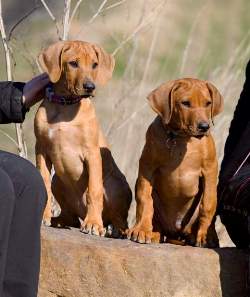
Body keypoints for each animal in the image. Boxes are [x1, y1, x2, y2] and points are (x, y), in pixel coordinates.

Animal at [35, 40, 133, 236]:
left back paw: (112, 229)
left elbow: (93, 191)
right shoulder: (41, 150)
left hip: (115, 186)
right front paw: (43, 216)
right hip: (58, 181)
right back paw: (58, 221)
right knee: (70, 217)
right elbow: (44, 183)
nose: (90, 87)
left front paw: (93, 224)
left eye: (95, 65)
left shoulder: (92, 154)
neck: (65, 105)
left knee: (119, 220)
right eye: (73, 63)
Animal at [127, 78, 223, 245]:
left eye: (208, 103)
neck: (180, 137)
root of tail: (176, 232)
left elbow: (208, 203)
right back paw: (152, 233)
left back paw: (205, 236)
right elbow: (144, 199)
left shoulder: (210, 169)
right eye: (185, 103)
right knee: (157, 221)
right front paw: (141, 229)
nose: (204, 127)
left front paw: (203, 235)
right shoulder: (147, 166)